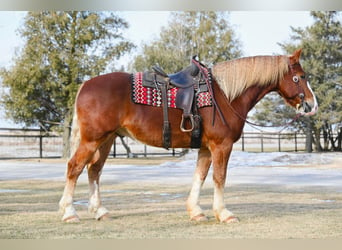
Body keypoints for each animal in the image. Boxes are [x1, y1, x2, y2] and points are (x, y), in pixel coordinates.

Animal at [58, 48, 318, 223]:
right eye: (299, 77)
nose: (312, 105)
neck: (225, 95)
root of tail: (86, 85)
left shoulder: (205, 148)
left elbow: (199, 177)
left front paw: (196, 212)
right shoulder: (221, 146)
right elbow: (219, 178)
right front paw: (224, 213)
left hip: (107, 140)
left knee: (94, 171)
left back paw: (100, 211)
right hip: (92, 140)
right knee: (74, 168)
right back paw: (70, 212)